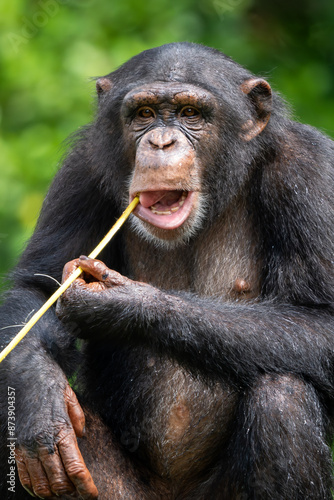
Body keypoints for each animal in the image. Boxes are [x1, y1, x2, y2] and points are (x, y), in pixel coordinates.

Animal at [0, 44, 334, 500]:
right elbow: (37, 287)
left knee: (283, 397)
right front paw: (39, 400)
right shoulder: (81, 168)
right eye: (144, 113)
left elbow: (323, 321)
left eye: (191, 113)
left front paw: (125, 306)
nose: (161, 141)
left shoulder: (312, 172)